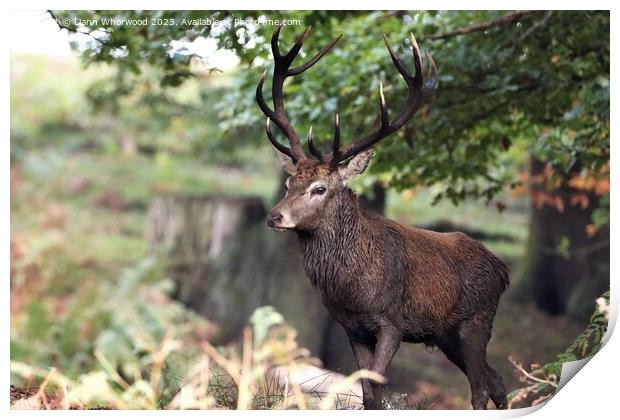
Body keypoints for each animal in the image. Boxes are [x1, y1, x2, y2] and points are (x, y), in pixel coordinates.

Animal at [256, 26, 508, 410]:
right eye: (289, 183)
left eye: (319, 188)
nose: (274, 216)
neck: (351, 289)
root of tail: (503, 270)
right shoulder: (352, 327)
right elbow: (367, 393)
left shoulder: (392, 321)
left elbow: (376, 385)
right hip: (446, 335)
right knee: (497, 384)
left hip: (476, 321)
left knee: (480, 389)